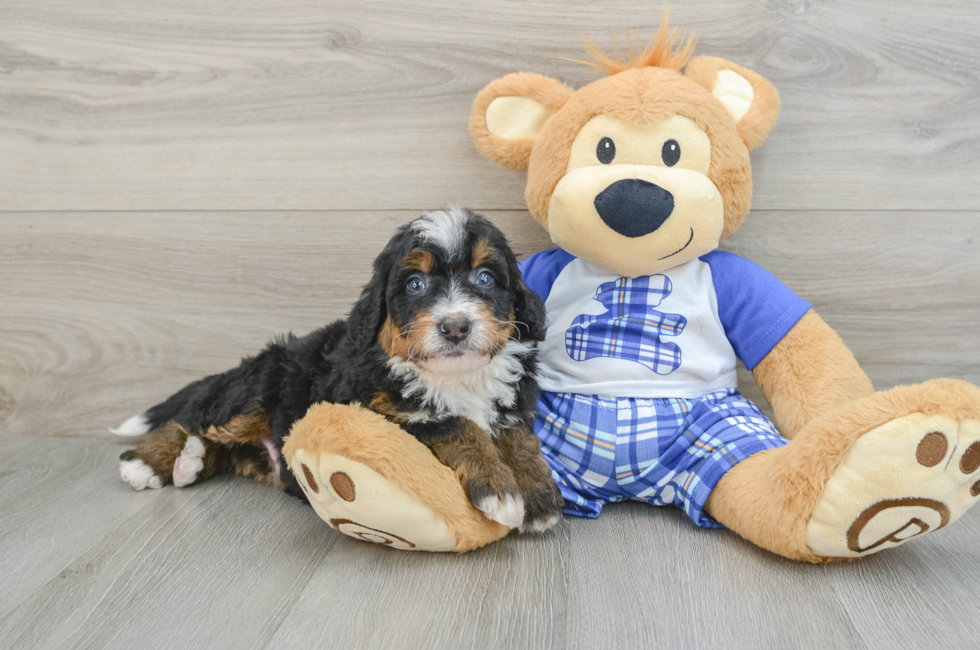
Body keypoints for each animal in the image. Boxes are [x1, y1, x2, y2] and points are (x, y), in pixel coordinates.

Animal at [112, 208, 564, 532]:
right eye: (415, 285)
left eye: (486, 278)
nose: (455, 325)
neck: (456, 377)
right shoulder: (377, 409)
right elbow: (454, 422)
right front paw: (500, 489)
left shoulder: (515, 403)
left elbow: (518, 436)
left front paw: (538, 493)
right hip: (253, 393)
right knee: (189, 420)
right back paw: (148, 464)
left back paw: (189, 463)